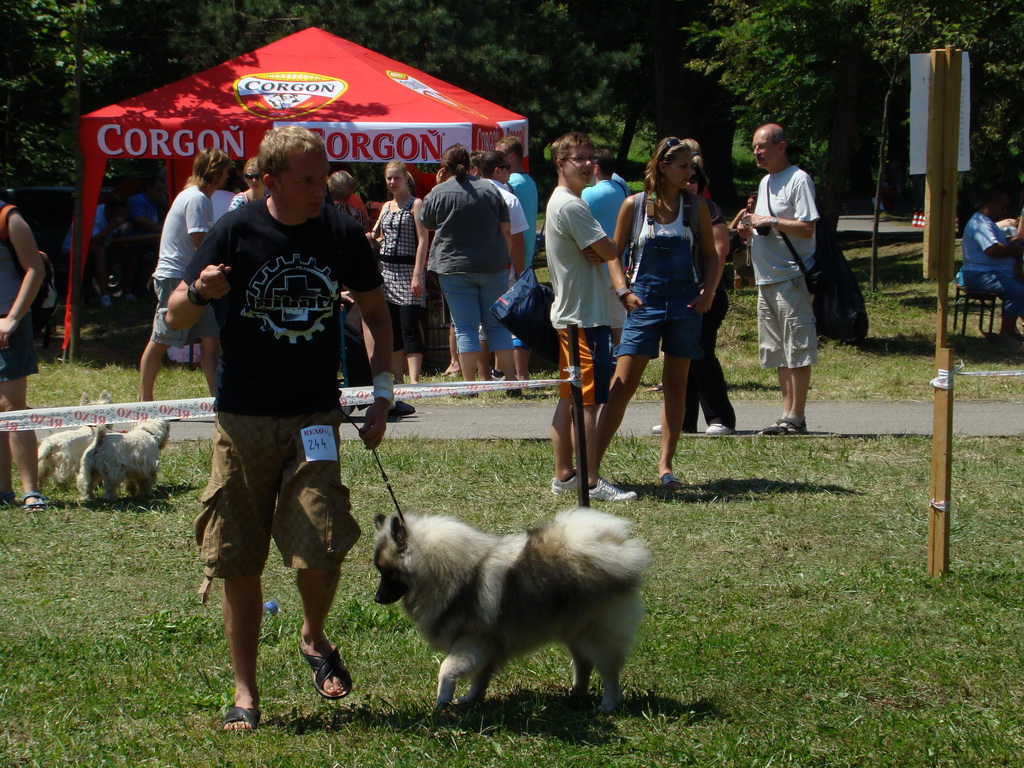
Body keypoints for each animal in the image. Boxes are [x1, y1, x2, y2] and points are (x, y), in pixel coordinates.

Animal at [374, 507, 647, 712]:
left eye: (388, 573)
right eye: (381, 572)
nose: (377, 598)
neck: (447, 571)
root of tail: (617, 549)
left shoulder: (472, 639)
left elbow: (447, 669)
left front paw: (443, 700)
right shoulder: (486, 645)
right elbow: (479, 677)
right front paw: (471, 698)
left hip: (596, 632)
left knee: (608, 670)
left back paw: (609, 704)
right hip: (574, 631)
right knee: (583, 664)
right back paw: (575, 693)